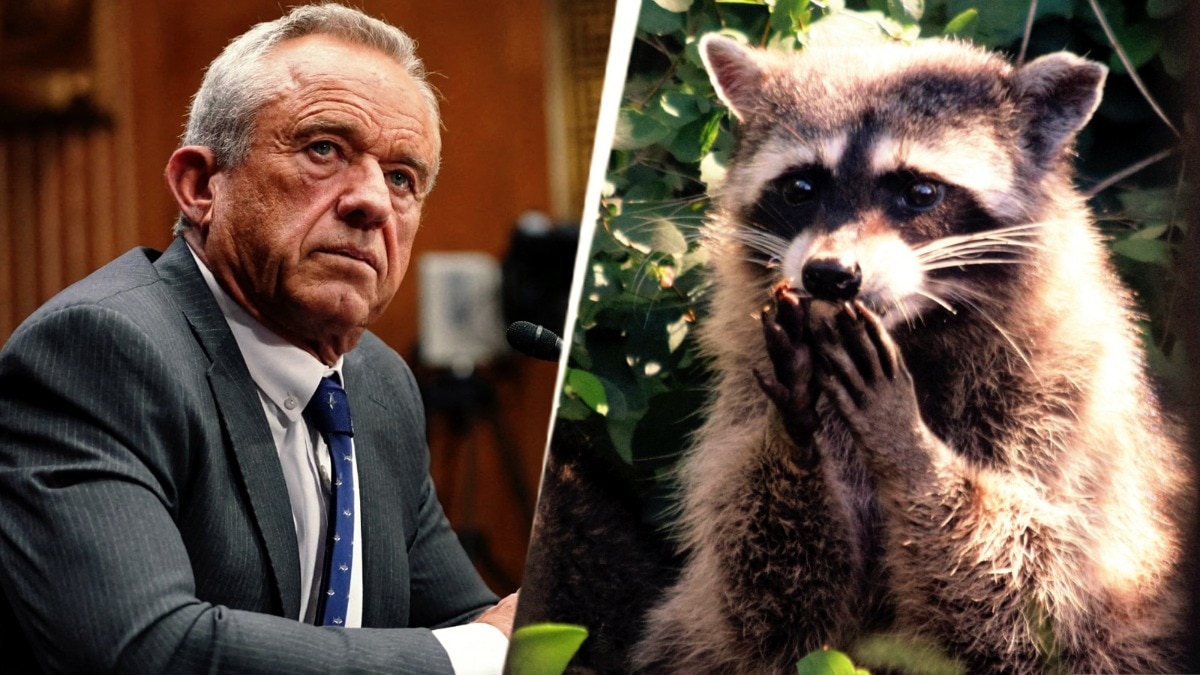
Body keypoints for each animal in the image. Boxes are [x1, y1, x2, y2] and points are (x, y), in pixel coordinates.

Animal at [631, 35, 1193, 674]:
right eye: (800, 188)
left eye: (920, 192)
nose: (830, 275)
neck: (912, 330)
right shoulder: (742, 387)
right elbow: (765, 606)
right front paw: (793, 429)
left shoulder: (1065, 398)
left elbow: (1038, 591)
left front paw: (909, 446)